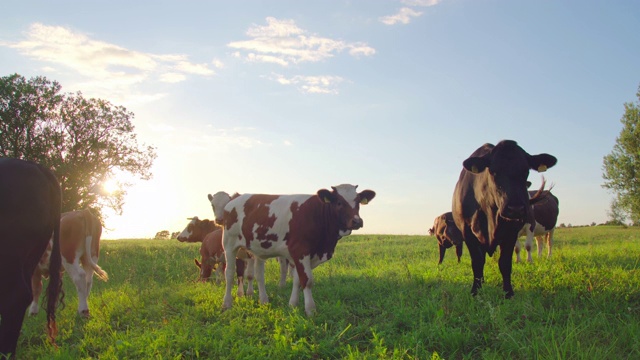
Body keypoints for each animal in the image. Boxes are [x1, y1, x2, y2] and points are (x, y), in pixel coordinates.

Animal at [209, 184, 376, 316]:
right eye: (339, 202)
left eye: (358, 202)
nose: (357, 221)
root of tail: (233, 200)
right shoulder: (300, 251)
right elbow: (307, 280)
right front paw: (310, 309)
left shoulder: (301, 255)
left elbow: (297, 280)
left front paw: (293, 304)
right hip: (229, 244)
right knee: (229, 274)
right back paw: (227, 303)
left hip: (257, 250)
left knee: (259, 275)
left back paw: (264, 301)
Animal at [450, 141, 556, 298]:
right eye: (493, 171)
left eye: (526, 171)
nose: (515, 208)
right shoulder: (467, 231)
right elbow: (477, 262)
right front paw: (476, 291)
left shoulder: (511, 232)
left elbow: (505, 263)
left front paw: (508, 292)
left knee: (548, 243)